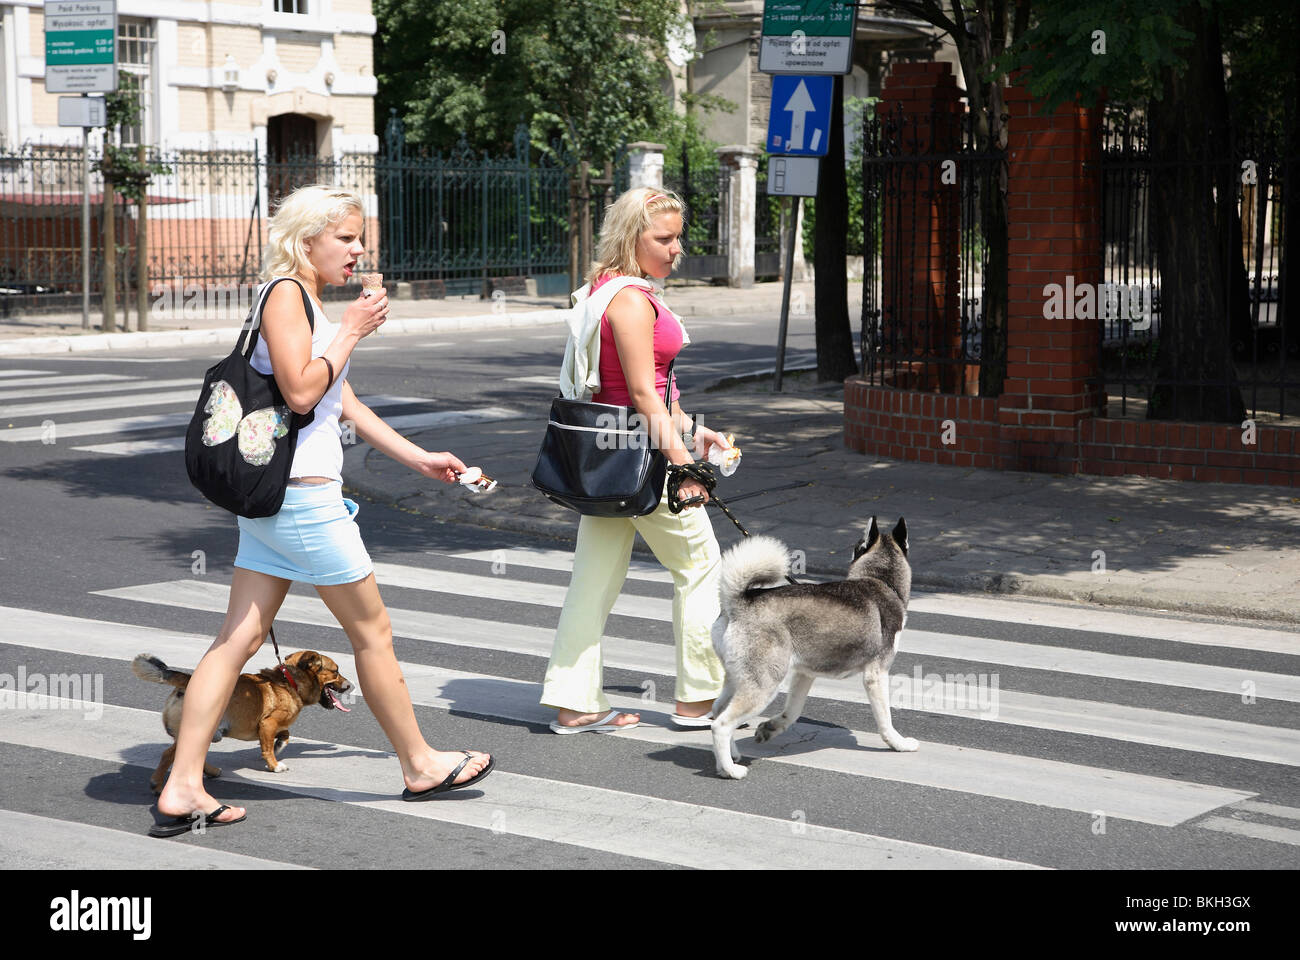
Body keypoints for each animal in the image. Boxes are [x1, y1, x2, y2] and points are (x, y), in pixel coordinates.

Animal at [130, 650, 353, 790]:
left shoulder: (273, 726)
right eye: (336, 671)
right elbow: (267, 747)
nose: (351, 685)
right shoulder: (268, 724)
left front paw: (280, 744)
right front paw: (274, 764)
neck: (290, 682)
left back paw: (211, 771)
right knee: (170, 755)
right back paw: (157, 784)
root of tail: (187, 681)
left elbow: (286, 733)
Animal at [712, 515, 915, 780]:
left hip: (737, 680)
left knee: (718, 710)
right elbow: (885, 720)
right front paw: (899, 744)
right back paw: (731, 770)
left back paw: (727, 760)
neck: (881, 581)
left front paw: (771, 728)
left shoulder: (804, 674)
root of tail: (738, 603)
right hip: (764, 685)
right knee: (721, 725)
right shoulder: (876, 674)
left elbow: (792, 711)